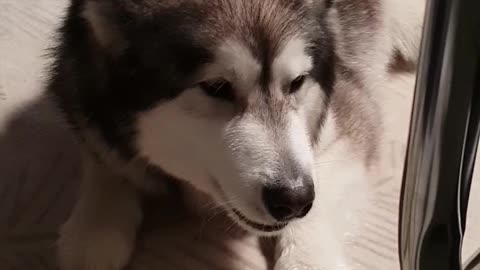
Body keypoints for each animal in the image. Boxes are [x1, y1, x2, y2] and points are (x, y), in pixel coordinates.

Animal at [47, 0, 424, 268]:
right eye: (217, 87)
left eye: (297, 82)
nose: (294, 200)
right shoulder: (79, 94)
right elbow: (104, 162)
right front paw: (96, 221)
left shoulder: (349, 114)